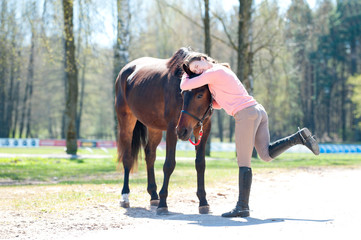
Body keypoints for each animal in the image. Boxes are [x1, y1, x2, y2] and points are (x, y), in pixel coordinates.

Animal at [114, 47, 211, 214]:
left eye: (200, 94)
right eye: (182, 93)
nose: (183, 131)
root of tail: (125, 71)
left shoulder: (203, 128)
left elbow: (200, 164)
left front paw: (203, 201)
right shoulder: (172, 129)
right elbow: (169, 164)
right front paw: (163, 203)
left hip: (154, 128)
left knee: (150, 155)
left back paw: (153, 195)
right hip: (126, 122)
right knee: (127, 157)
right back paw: (125, 196)